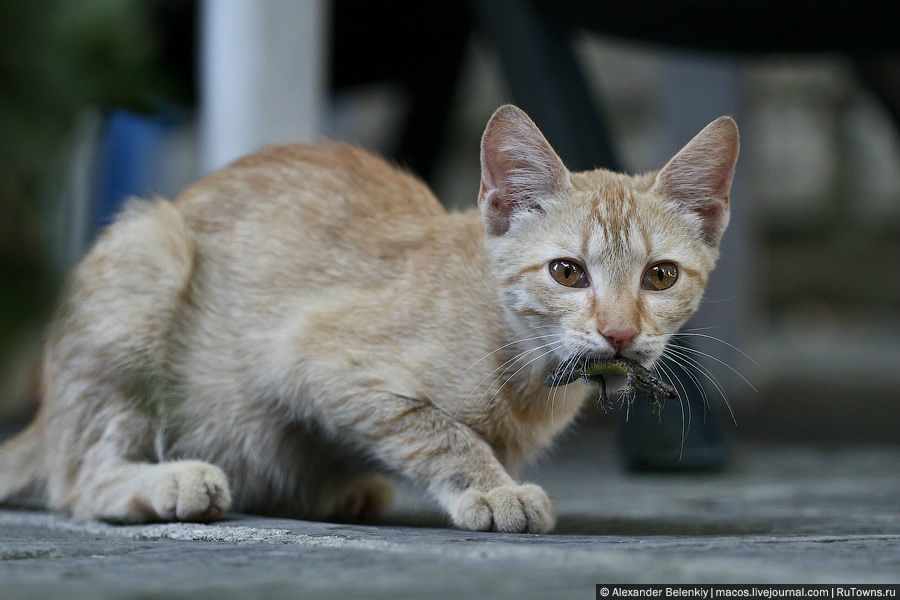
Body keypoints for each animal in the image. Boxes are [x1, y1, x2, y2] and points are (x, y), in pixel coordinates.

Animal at [0, 105, 740, 532]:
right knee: (79, 479)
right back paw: (171, 481)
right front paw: (492, 489)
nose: (619, 333)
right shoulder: (310, 355)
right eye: (567, 273)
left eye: (660, 276)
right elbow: (441, 432)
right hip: (150, 248)